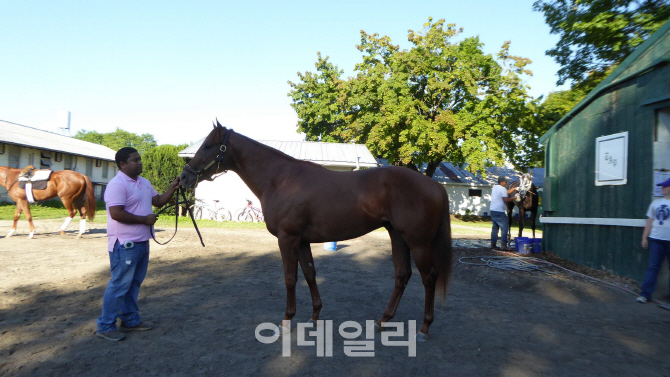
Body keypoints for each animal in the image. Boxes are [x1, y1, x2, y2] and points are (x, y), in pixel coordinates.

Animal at [178, 122, 454, 340]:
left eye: (208, 146)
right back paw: (382, 321)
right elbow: (310, 274)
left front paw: (286, 321)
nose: (184, 177)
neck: (280, 179)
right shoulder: (301, 241)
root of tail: (435, 186)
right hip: (397, 236)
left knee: (429, 278)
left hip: (418, 243)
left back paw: (424, 329)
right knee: (402, 275)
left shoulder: (287, 239)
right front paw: (314, 316)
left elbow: (290, 278)